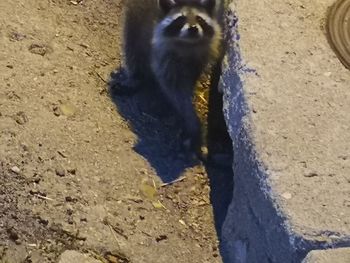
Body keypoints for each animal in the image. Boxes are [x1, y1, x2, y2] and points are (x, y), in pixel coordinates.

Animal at [113, 0, 224, 159]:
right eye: (180, 19)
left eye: (200, 19)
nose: (193, 28)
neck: (187, 46)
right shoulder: (164, 56)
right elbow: (175, 90)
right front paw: (192, 121)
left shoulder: (200, 58)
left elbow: (188, 82)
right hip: (135, 14)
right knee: (133, 44)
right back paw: (135, 76)